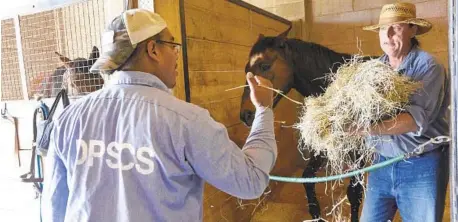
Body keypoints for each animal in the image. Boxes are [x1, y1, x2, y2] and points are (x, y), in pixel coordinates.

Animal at [240, 28, 372, 222]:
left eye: (264, 66)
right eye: (246, 69)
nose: (246, 115)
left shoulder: (359, 150)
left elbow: (355, 192)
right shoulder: (323, 145)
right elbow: (308, 179)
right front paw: (316, 214)